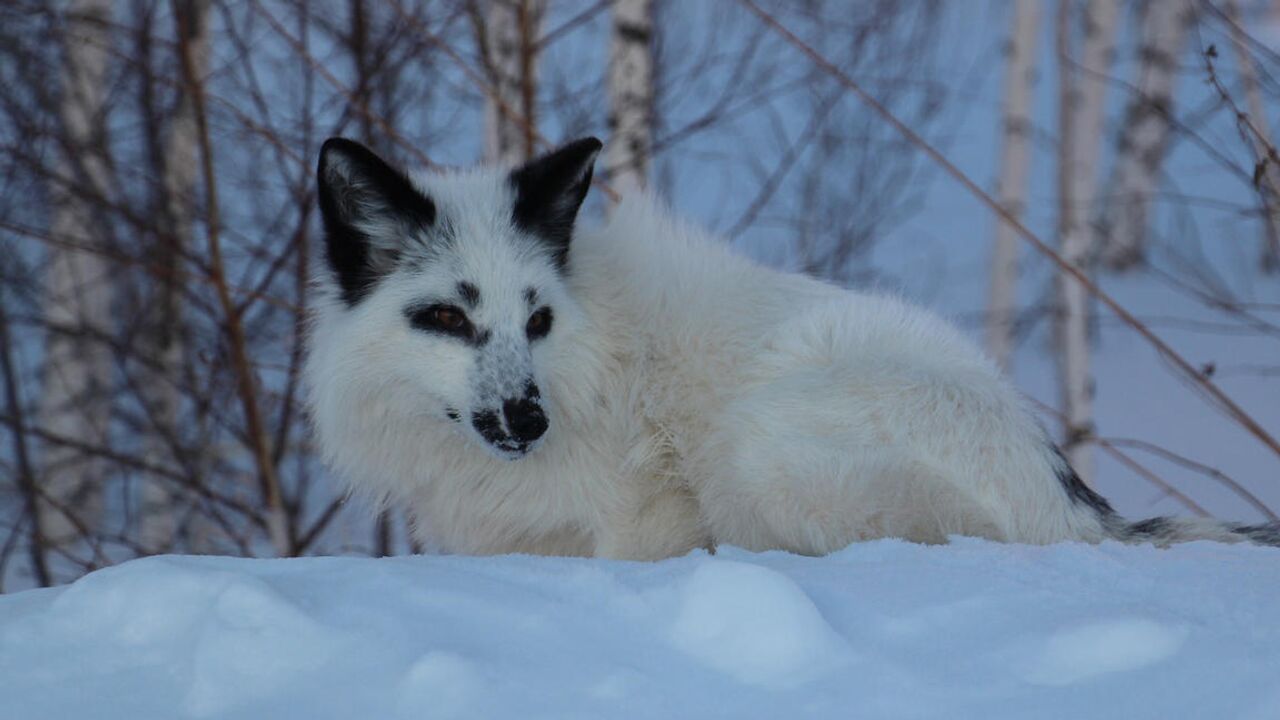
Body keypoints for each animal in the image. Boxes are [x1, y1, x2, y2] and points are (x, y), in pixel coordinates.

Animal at [307, 135, 1280, 556]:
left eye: (536, 319)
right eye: (447, 318)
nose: (525, 420)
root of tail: (1069, 501)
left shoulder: (641, 522)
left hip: (756, 448)